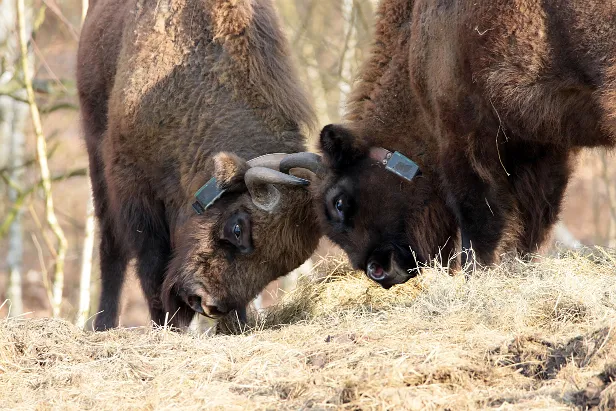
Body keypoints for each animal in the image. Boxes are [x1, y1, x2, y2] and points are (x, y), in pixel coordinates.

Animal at [76, 0, 322, 330]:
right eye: (237, 228)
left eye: (281, 267)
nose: (208, 303)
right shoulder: (134, 188)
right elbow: (150, 261)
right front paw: (168, 324)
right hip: (96, 154)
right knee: (111, 246)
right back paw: (104, 324)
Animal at [286, 0, 616, 288]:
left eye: (339, 202)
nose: (377, 270)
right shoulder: (542, 147)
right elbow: (534, 220)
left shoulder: (461, 137)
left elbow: (476, 216)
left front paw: (476, 276)